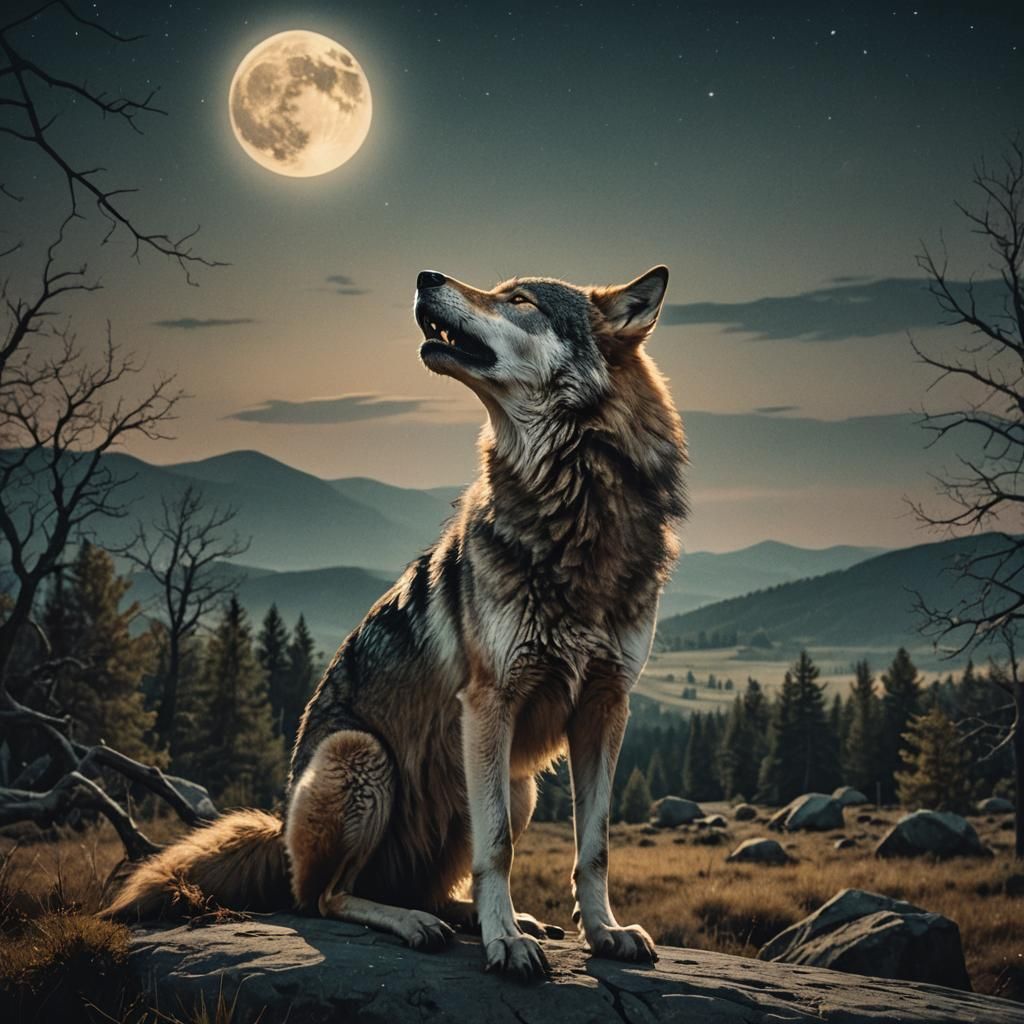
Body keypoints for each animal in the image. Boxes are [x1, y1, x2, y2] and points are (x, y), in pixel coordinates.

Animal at [104, 266, 687, 981]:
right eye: (502, 290)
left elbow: (594, 845)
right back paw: (419, 923)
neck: (575, 507)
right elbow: (498, 849)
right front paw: (504, 944)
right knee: (324, 898)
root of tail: (279, 830)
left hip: (515, 783)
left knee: (425, 886)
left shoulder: (607, 706)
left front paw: (603, 932)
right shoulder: (491, 702)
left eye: (519, 300)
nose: (425, 275)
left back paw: (478, 916)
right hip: (365, 756)